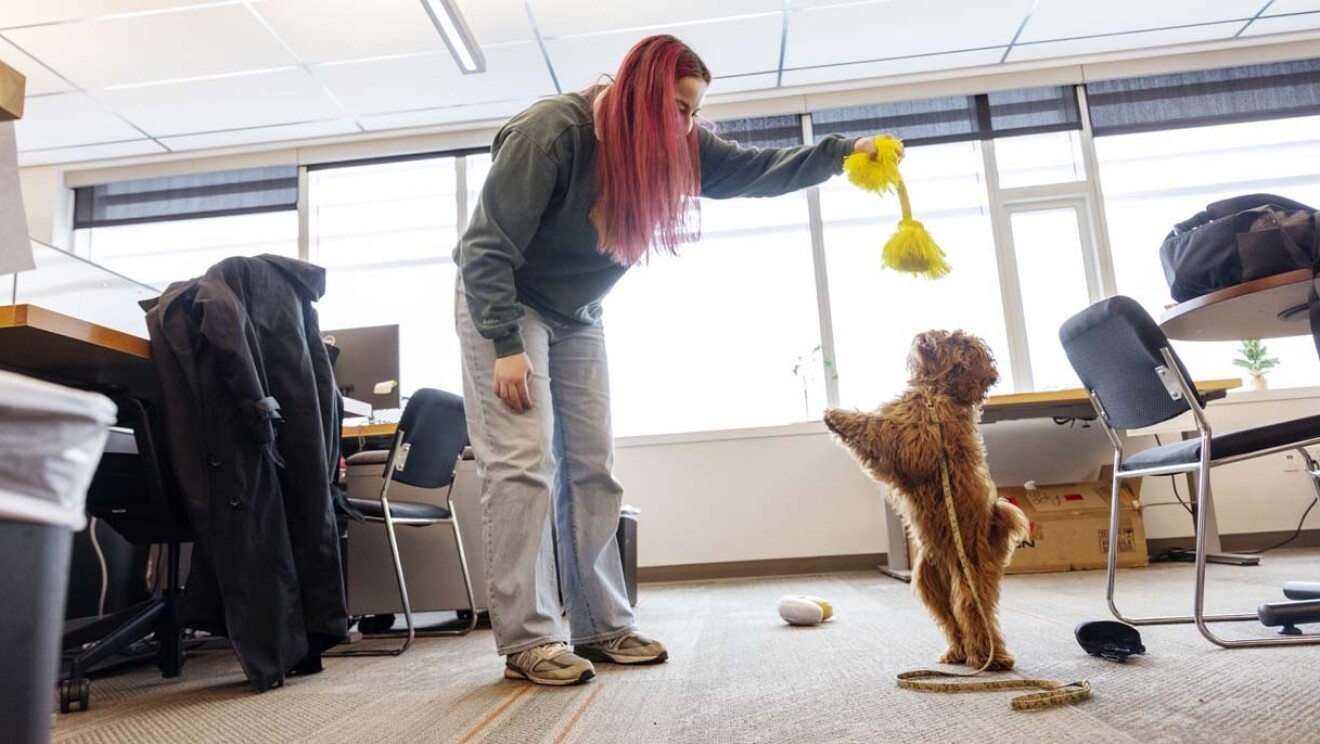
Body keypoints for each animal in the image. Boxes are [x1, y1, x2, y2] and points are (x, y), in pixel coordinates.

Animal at [823, 328, 1029, 670]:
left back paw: (991, 657)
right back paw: (958, 653)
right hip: (929, 584)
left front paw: (838, 415)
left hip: (968, 579)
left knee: (975, 614)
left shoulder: (919, 443)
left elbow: (878, 428)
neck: (935, 392)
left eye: (954, 340)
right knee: (951, 620)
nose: (927, 334)